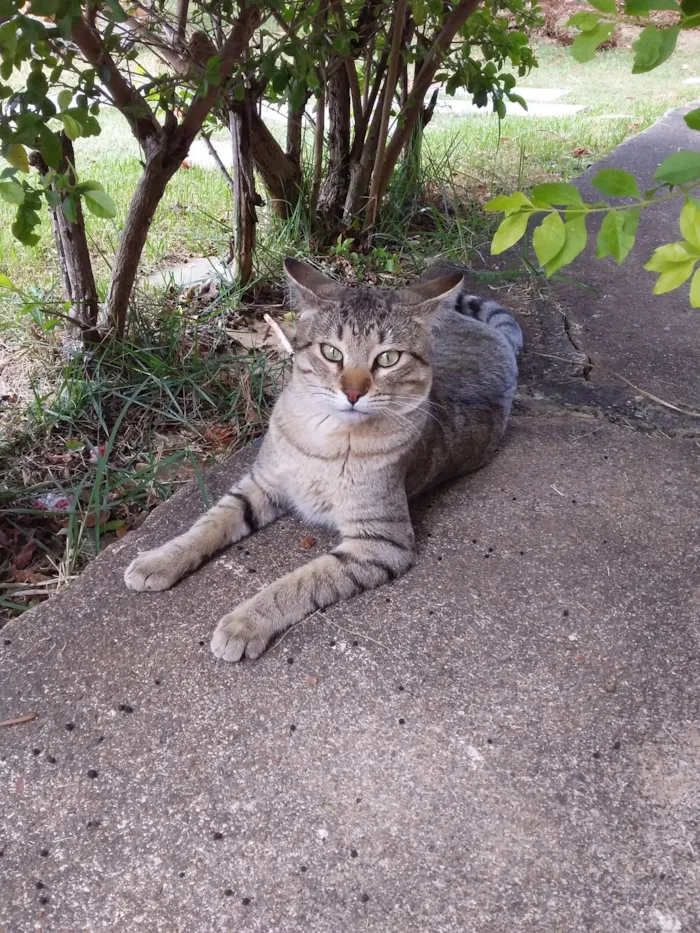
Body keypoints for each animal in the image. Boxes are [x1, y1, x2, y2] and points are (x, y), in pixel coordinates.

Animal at [124, 258, 520, 660]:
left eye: (388, 358)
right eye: (331, 352)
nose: (353, 393)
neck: (326, 437)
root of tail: (497, 338)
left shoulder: (381, 542)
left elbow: (298, 583)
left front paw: (245, 622)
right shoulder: (261, 484)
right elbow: (208, 524)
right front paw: (160, 559)